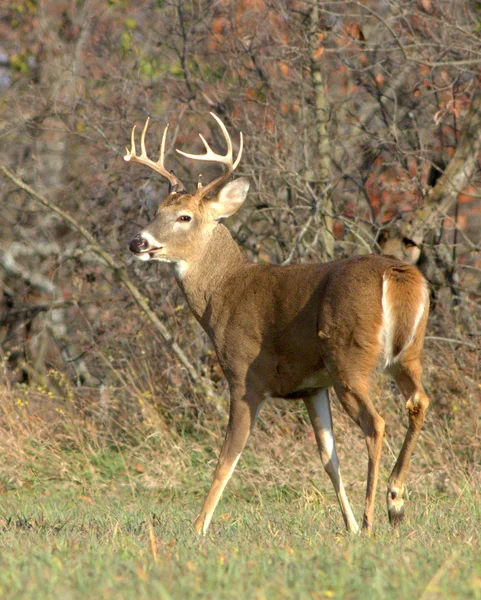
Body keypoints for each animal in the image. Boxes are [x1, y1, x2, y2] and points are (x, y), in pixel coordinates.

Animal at [125, 112, 430, 536]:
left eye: (184, 216)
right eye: (155, 210)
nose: (137, 242)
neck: (225, 292)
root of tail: (398, 275)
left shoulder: (244, 376)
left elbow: (227, 458)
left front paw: (198, 526)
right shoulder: (311, 387)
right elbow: (329, 460)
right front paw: (349, 526)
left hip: (348, 355)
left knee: (377, 423)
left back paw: (376, 515)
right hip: (407, 354)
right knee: (418, 401)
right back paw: (394, 501)